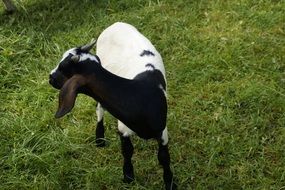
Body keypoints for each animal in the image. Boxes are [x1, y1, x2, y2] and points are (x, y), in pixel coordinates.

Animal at [49, 21, 175, 189]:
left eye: (63, 68)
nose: (50, 77)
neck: (138, 95)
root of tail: (116, 23)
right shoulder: (123, 128)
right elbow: (127, 151)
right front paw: (128, 176)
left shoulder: (162, 131)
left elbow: (164, 158)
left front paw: (170, 182)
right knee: (99, 109)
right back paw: (100, 139)